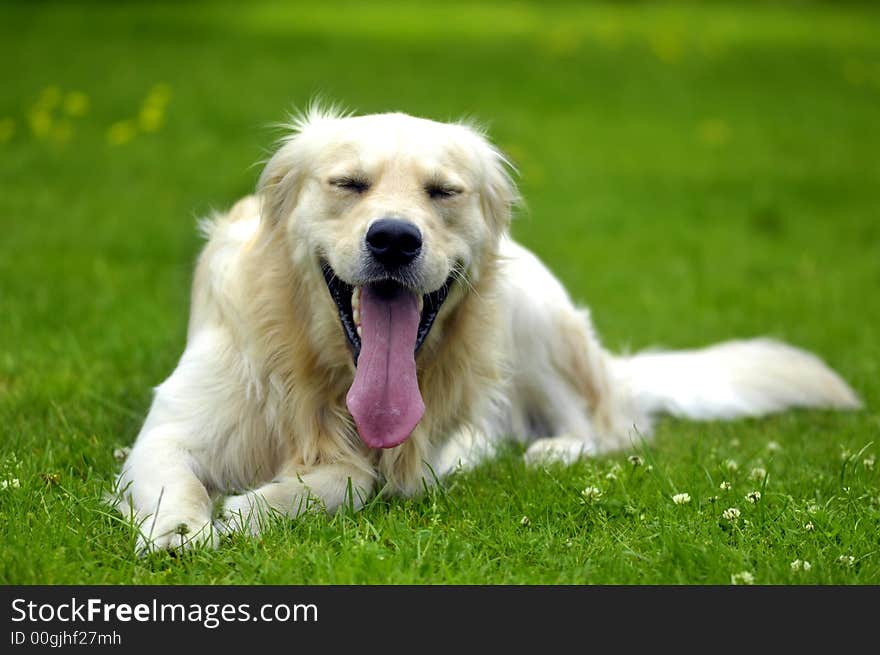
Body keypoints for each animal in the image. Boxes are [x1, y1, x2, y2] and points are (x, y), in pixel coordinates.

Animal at [115, 109, 860, 552]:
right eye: (348, 184)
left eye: (444, 191)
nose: (394, 239)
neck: (319, 369)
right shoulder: (170, 429)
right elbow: (176, 484)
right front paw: (183, 531)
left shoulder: (391, 466)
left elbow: (348, 479)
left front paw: (251, 508)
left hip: (531, 317)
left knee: (611, 428)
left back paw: (552, 449)